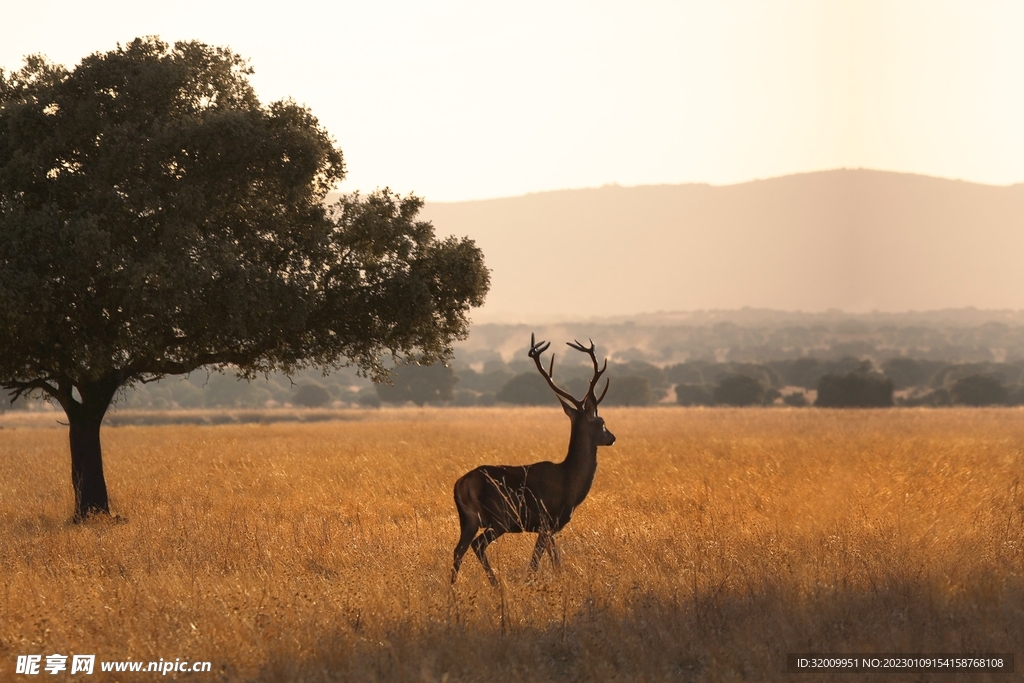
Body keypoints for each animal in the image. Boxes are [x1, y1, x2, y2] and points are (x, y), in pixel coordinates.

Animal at [451, 334, 616, 585]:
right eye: (601, 422)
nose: (612, 437)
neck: (570, 483)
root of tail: (461, 484)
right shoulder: (547, 521)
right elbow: (537, 562)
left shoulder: (547, 528)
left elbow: (554, 560)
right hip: (500, 517)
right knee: (478, 545)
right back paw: (496, 585)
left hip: (468, 520)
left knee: (458, 550)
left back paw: (453, 589)